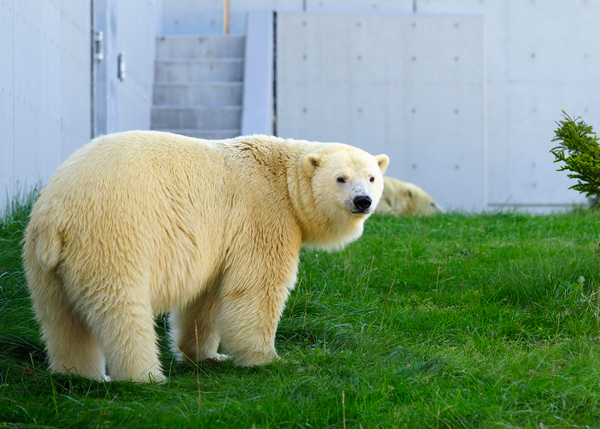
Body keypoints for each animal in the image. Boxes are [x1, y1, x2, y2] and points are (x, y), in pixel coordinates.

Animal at [23, 130, 390, 382]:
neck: (282, 177)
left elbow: (207, 297)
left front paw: (205, 355)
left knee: (60, 318)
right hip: (114, 237)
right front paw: (267, 359)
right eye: (341, 178)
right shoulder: (262, 216)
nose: (363, 201)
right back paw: (145, 376)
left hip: (43, 261)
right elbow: (258, 289)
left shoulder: (222, 240)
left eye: (373, 177)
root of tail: (57, 214)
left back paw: (77, 374)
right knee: (121, 310)